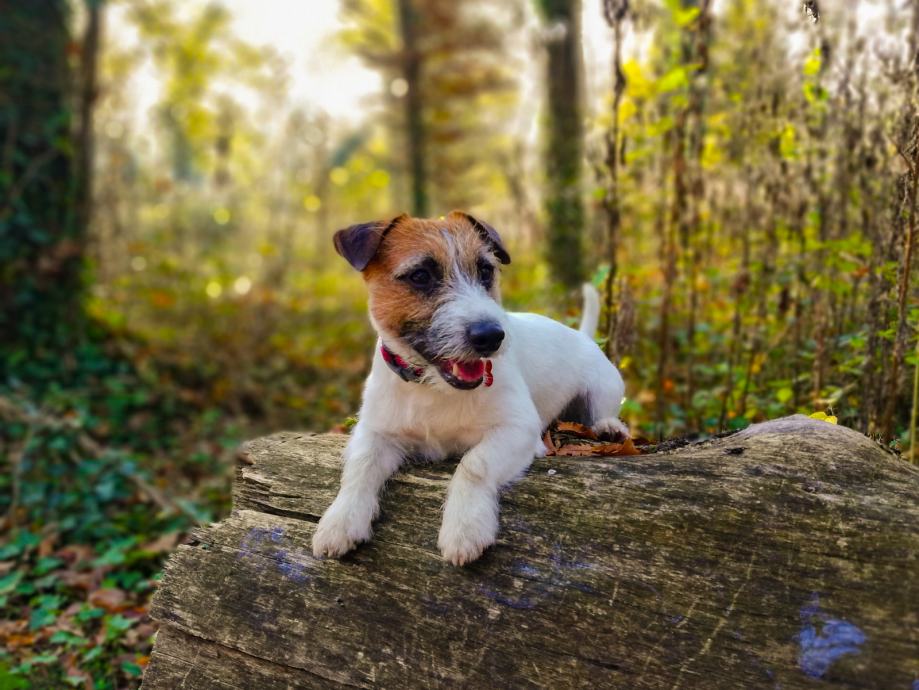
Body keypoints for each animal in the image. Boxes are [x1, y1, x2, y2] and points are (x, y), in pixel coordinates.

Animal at [312, 211, 628, 564]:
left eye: (486, 271)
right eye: (420, 275)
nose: (491, 336)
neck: (433, 388)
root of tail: (582, 336)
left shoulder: (519, 431)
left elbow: (474, 464)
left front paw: (465, 527)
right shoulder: (375, 432)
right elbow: (360, 467)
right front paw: (340, 520)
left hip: (603, 386)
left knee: (602, 411)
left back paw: (609, 428)